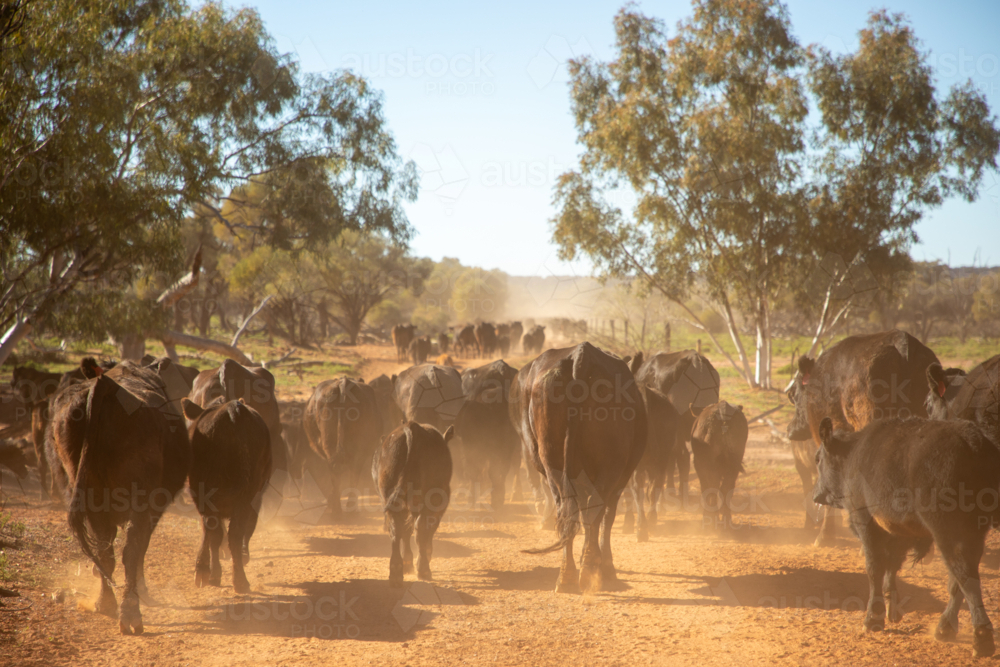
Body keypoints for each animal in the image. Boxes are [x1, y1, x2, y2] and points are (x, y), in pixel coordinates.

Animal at [46, 361, 191, 634]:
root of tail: (106, 386)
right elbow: (140, 550)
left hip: (90, 498)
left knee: (106, 551)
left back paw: (106, 603)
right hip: (139, 503)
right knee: (131, 551)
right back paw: (131, 612)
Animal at [181, 398, 271, 594]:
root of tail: (232, 410)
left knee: (222, 533)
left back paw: (220, 575)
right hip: (246, 497)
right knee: (234, 534)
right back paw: (239, 579)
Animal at [372, 421, 454, 586]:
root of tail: (412, 427)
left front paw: (408, 562)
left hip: (394, 499)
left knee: (396, 530)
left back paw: (396, 572)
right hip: (433, 499)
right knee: (420, 528)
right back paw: (423, 569)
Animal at [513, 342, 646, 593]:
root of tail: (580, 356)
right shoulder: (620, 477)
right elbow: (606, 518)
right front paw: (606, 565)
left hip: (552, 465)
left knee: (567, 512)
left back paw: (567, 576)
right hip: (611, 465)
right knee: (595, 510)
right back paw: (589, 569)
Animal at [814, 416, 999, 657]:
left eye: (818, 459)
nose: (816, 494)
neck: (852, 454)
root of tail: (973, 440)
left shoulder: (867, 524)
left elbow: (875, 568)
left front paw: (873, 618)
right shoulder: (898, 533)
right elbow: (892, 567)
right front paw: (892, 608)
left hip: (949, 532)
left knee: (965, 575)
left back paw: (981, 638)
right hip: (972, 532)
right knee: (959, 577)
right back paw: (945, 628)